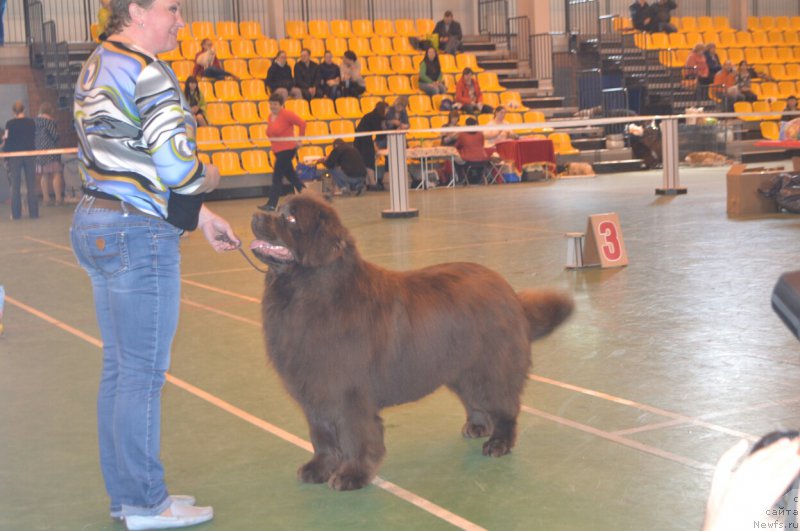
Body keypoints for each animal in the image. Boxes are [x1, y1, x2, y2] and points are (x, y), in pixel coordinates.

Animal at [253, 194, 572, 490]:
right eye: (277, 208)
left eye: (291, 218)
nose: (255, 216)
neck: (307, 293)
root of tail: (509, 292)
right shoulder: (314, 389)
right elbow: (321, 435)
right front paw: (318, 468)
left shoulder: (348, 392)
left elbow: (354, 435)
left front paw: (351, 475)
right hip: (461, 368)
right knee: (475, 399)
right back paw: (478, 426)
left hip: (491, 367)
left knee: (505, 405)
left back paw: (498, 443)